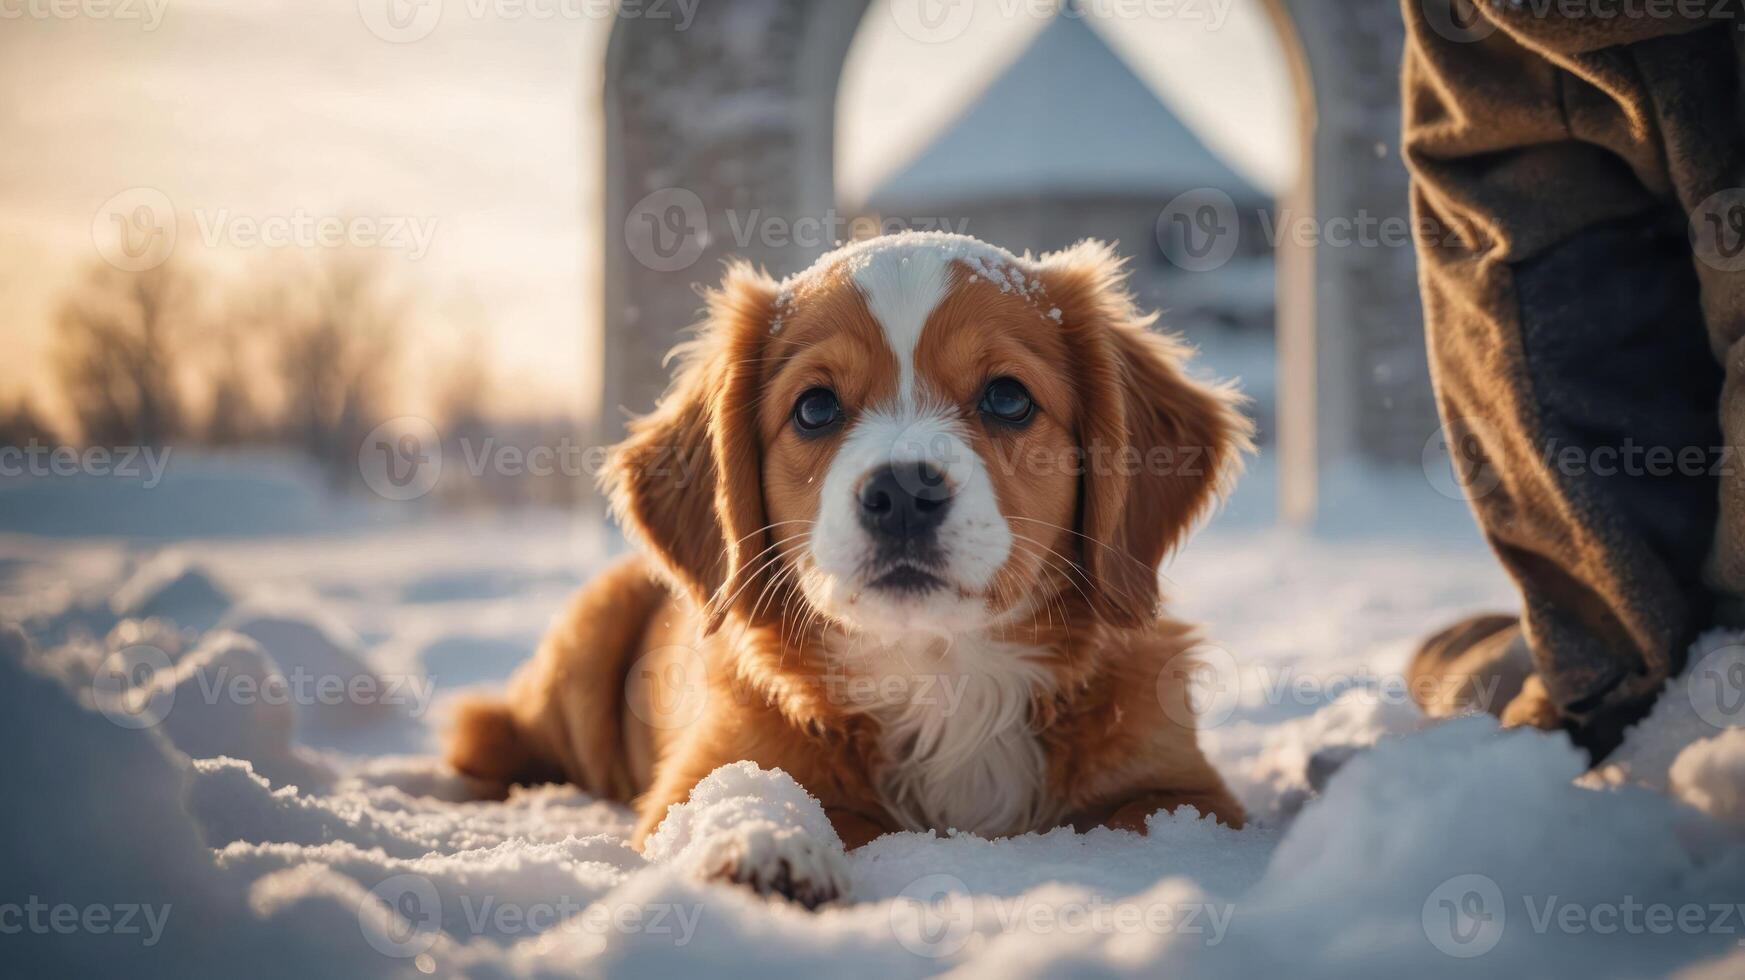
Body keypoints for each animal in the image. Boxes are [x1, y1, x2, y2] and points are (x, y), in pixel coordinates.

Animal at [443, 231, 1249, 906]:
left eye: (1008, 397)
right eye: (815, 408)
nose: (903, 492)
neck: (939, 672)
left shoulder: (1191, 788)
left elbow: (1146, 814)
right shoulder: (695, 772)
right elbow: (745, 790)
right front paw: (766, 845)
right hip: (588, 634)